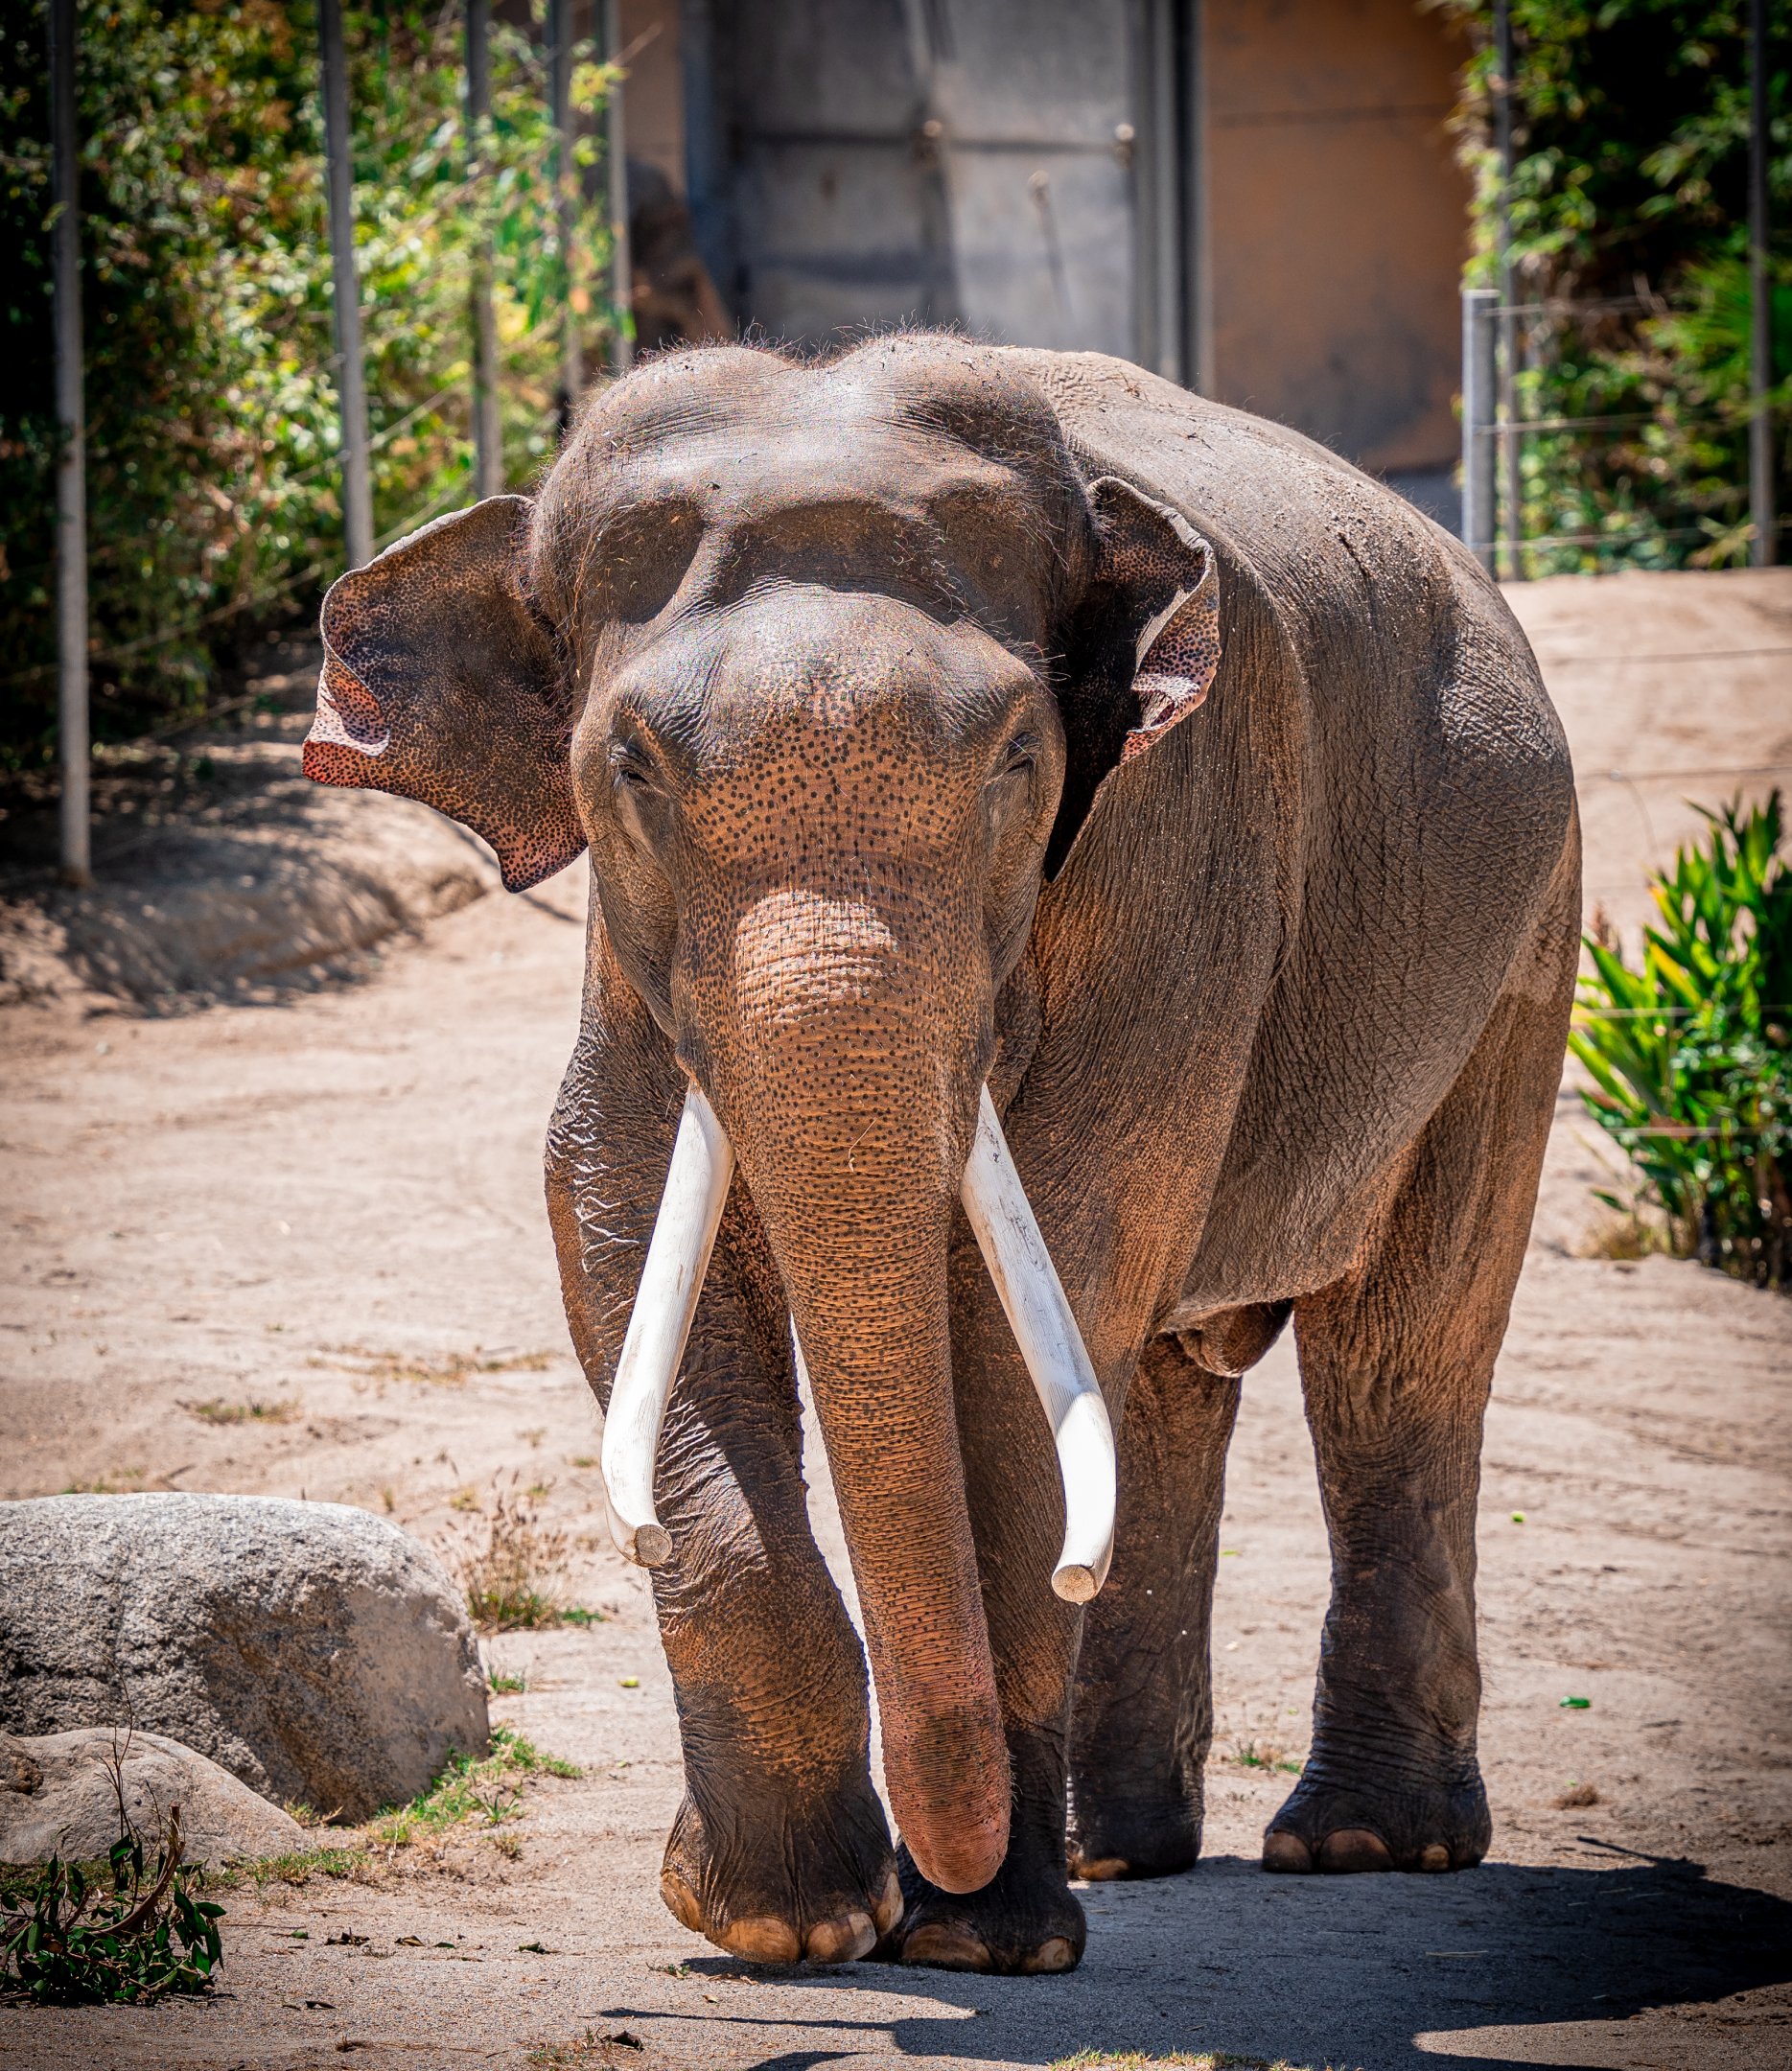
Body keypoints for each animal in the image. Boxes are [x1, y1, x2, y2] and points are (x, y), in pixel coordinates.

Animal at [304, 335, 1580, 1976]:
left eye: (1016, 762)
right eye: (630, 771)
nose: (938, 1882)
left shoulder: (1175, 841)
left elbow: (1053, 1270)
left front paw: (977, 1947)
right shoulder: (627, 947)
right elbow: (612, 1206)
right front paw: (785, 1924)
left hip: (1519, 940)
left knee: (1395, 1360)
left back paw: (1361, 1846)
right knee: (1163, 1380)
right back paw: (1121, 1854)